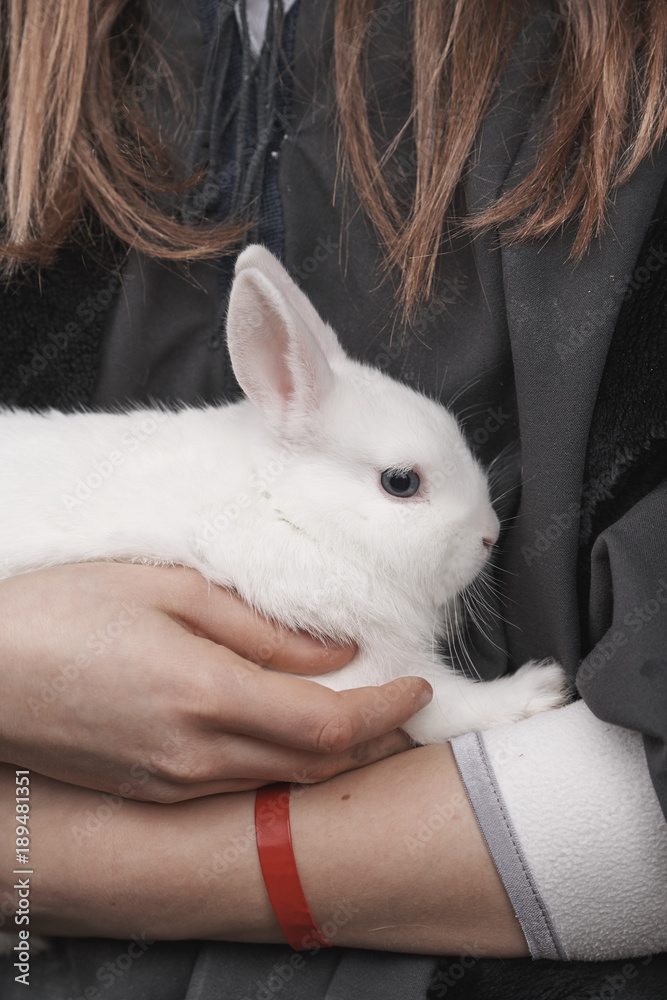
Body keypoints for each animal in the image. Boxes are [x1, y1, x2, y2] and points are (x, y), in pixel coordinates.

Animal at [0, 244, 568, 746]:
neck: (290, 512)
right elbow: (444, 706)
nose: (489, 535)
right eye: (401, 482)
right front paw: (541, 689)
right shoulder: (368, 673)